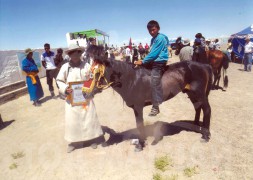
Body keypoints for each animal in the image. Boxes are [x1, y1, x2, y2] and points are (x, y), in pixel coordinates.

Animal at [85, 45, 213, 152]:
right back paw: (196, 125)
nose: (85, 93)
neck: (132, 80)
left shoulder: (138, 106)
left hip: (199, 94)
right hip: (192, 93)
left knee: (207, 110)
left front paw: (140, 145)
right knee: (198, 108)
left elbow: (139, 125)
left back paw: (205, 135)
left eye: (97, 74)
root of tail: (204, 65)